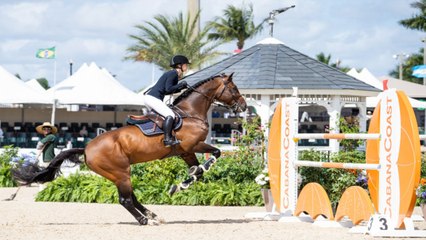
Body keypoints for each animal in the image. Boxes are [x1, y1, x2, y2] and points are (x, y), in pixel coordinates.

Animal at [12, 72, 246, 225]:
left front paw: (180, 186)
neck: (190, 113)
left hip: (118, 173)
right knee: (125, 199)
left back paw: (153, 215)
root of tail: (86, 149)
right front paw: (190, 178)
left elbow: (196, 171)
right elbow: (215, 153)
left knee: (131, 197)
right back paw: (145, 220)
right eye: (234, 88)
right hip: (120, 172)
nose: (243, 106)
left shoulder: (186, 151)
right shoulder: (192, 145)